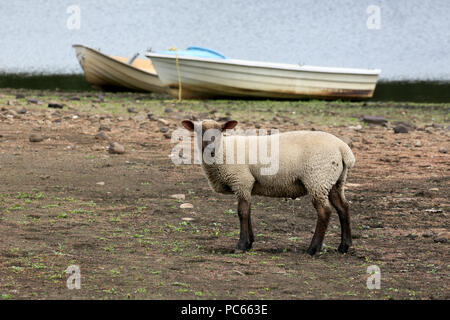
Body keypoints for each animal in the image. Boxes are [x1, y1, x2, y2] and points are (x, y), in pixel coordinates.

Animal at [179, 119, 356, 256]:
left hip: (317, 178)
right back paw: (343, 247)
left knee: (324, 212)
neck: (223, 151)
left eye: (220, 131)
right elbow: (248, 212)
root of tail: (343, 149)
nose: (210, 149)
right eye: (199, 131)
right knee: (343, 207)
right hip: (334, 181)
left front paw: (241, 246)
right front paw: (249, 243)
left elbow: (242, 213)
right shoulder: (247, 185)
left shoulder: (241, 181)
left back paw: (313, 249)